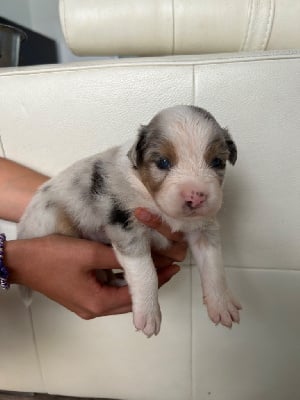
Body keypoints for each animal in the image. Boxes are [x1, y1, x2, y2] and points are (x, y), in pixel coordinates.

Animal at [17, 104, 241, 336]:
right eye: (163, 162)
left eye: (217, 161)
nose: (196, 196)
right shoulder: (126, 224)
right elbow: (145, 271)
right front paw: (148, 315)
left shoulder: (203, 228)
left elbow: (214, 265)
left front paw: (222, 305)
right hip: (56, 219)